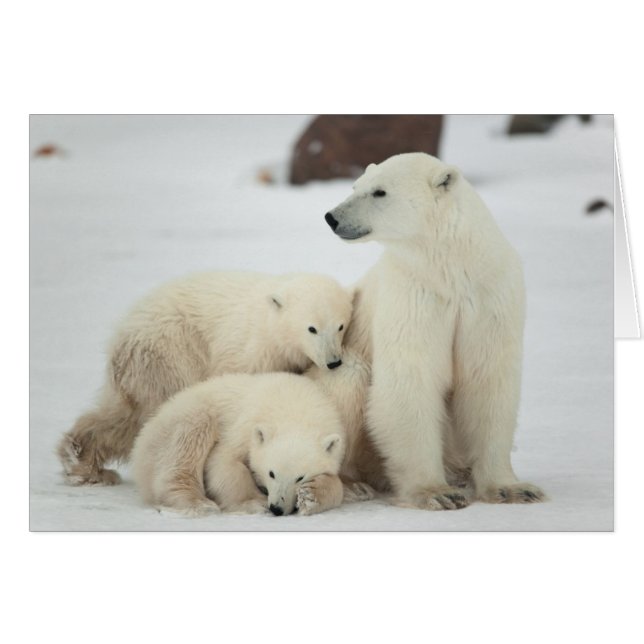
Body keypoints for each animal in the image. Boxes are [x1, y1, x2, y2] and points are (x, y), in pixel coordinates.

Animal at [58, 271, 352, 487]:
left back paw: (83, 461)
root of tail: (120, 339)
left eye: (340, 326)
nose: (333, 361)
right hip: (170, 353)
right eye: (312, 328)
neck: (270, 326)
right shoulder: (244, 352)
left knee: (123, 417)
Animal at [130, 372, 348, 516]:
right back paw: (198, 503)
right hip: (182, 421)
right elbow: (224, 462)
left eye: (300, 477)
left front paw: (311, 497)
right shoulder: (245, 424)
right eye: (271, 473)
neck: (295, 407)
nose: (277, 508)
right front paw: (254, 503)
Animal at [324, 152, 545, 509]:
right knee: (349, 379)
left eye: (379, 192)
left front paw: (513, 489)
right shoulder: (414, 294)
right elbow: (412, 379)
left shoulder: (489, 296)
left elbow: (487, 380)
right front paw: (436, 493)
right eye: (355, 186)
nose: (332, 217)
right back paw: (352, 484)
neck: (451, 267)